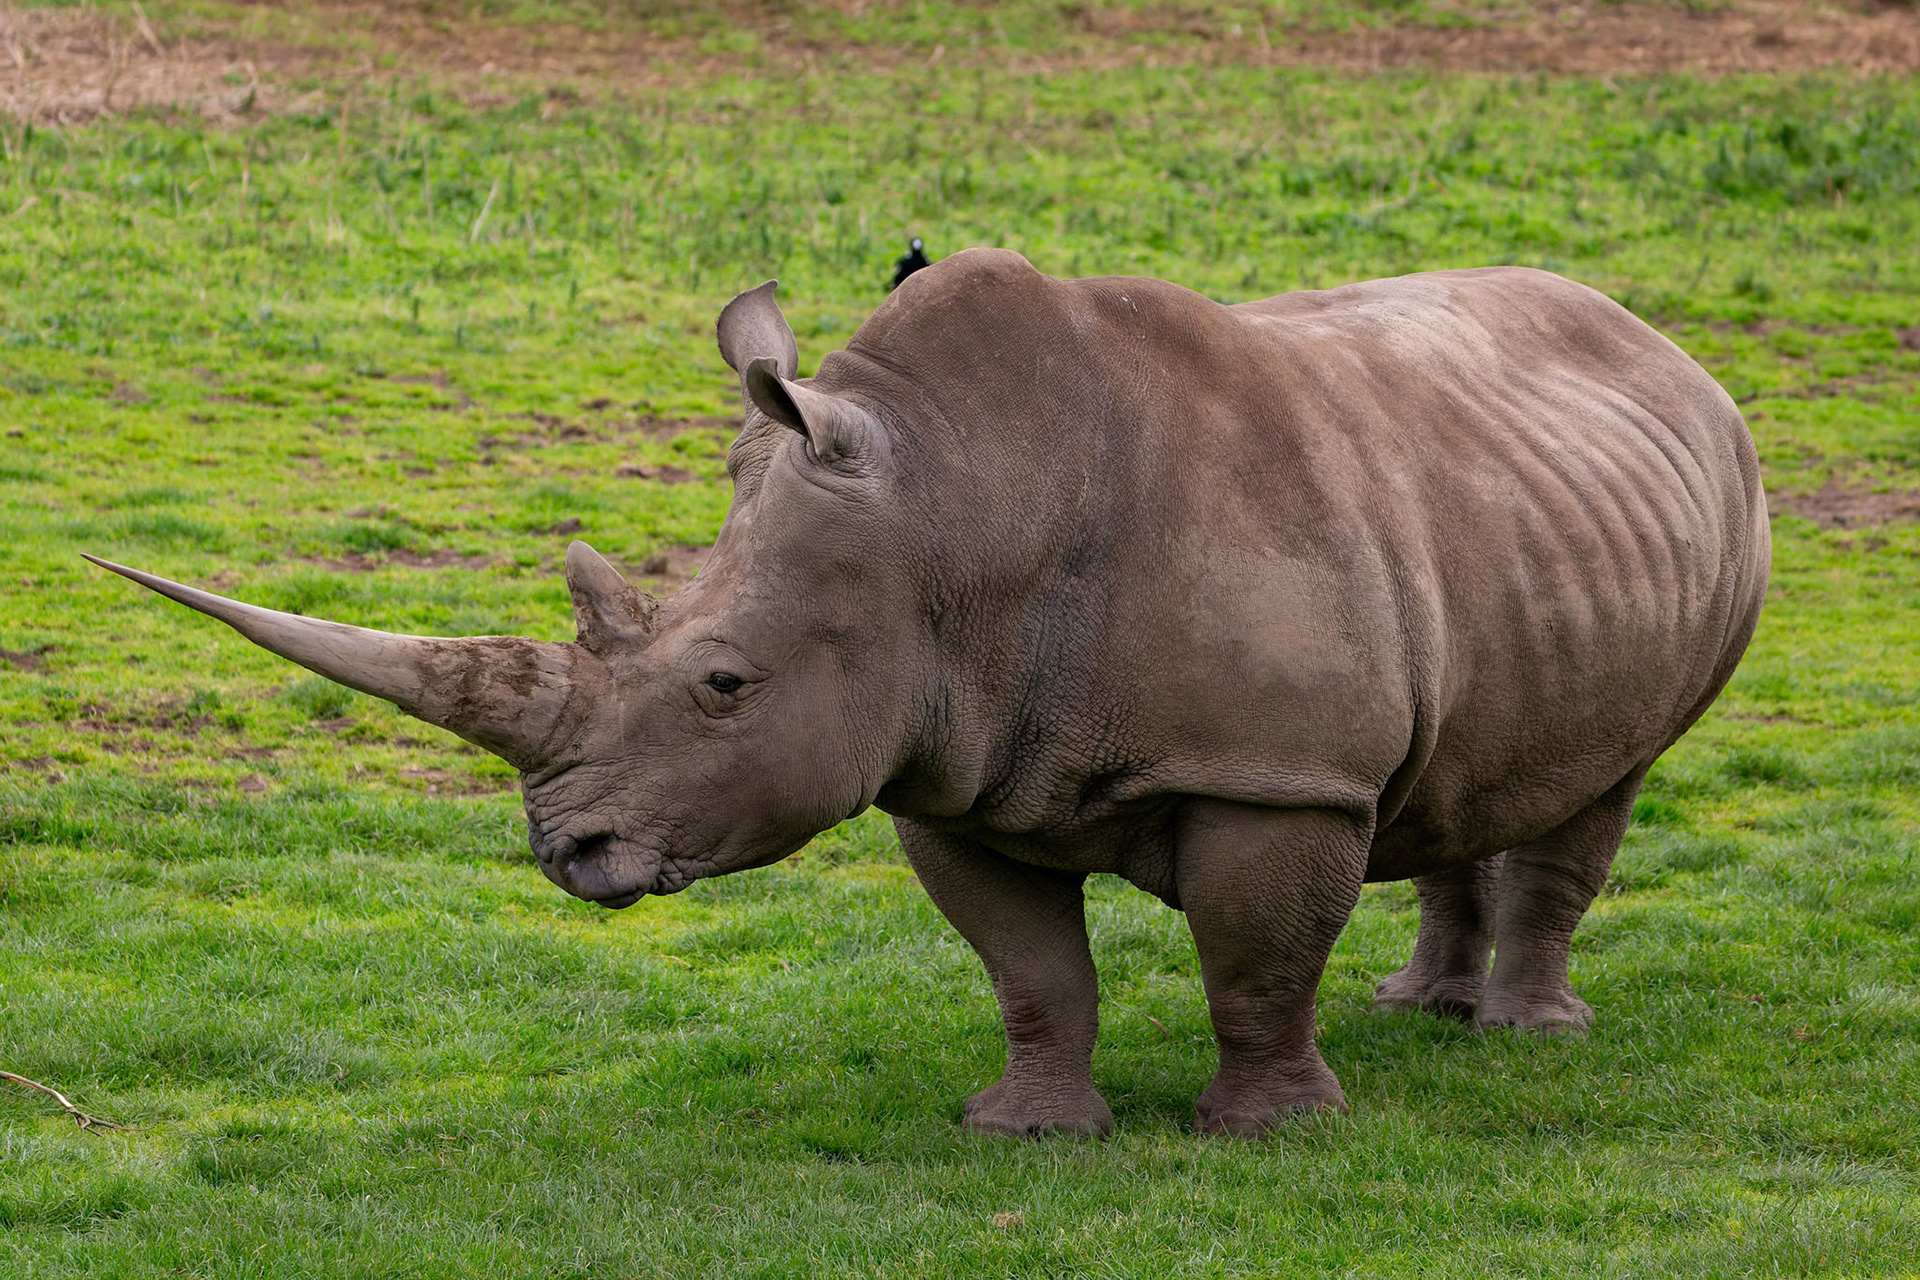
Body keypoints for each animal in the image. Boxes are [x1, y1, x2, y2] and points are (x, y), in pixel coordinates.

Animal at [88, 250, 1769, 1137]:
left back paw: (1529, 1041)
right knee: (1460, 775)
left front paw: (1274, 1132)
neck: (951, 516)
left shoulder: (1272, 770)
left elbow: (1255, 957)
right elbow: (1032, 969)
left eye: (722, 682)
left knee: (1605, 782)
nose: (567, 855)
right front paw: (1029, 1135)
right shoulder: (952, 766)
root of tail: (1656, 339)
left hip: (1707, 500)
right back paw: (1425, 1008)